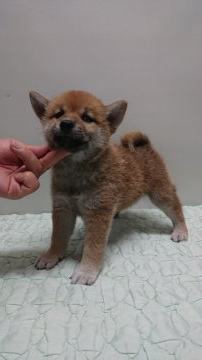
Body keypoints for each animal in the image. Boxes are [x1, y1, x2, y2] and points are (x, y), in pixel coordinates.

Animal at [29, 91, 188, 286]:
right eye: (58, 114)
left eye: (87, 118)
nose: (66, 123)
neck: (77, 169)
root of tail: (146, 146)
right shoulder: (63, 208)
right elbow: (57, 237)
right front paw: (51, 256)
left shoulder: (98, 211)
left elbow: (93, 247)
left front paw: (86, 271)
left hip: (160, 193)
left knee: (176, 209)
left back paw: (181, 230)